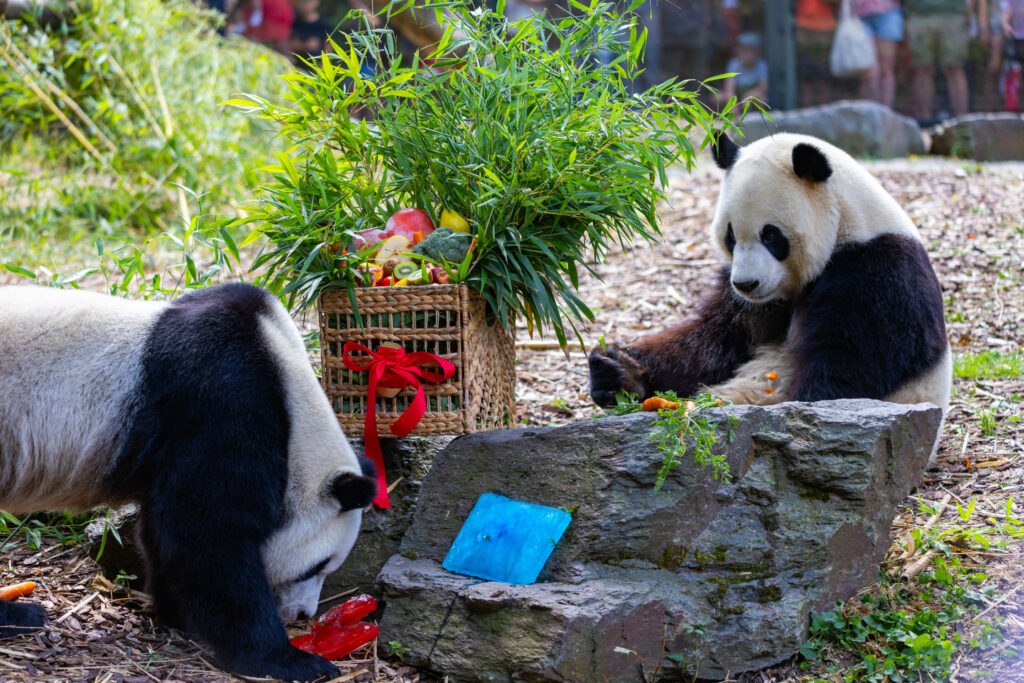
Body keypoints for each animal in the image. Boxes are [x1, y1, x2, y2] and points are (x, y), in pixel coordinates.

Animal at [0, 280, 376, 679]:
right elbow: (208, 535)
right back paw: (20, 616)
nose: (303, 615)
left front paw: (176, 612)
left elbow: (166, 532)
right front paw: (288, 659)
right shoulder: (225, 402)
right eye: (318, 566)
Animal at [589, 132, 954, 436]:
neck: (846, 225)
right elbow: (712, 342)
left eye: (771, 235)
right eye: (731, 236)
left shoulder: (877, 274)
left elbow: (851, 366)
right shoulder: (751, 301)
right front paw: (618, 370)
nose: (746, 284)